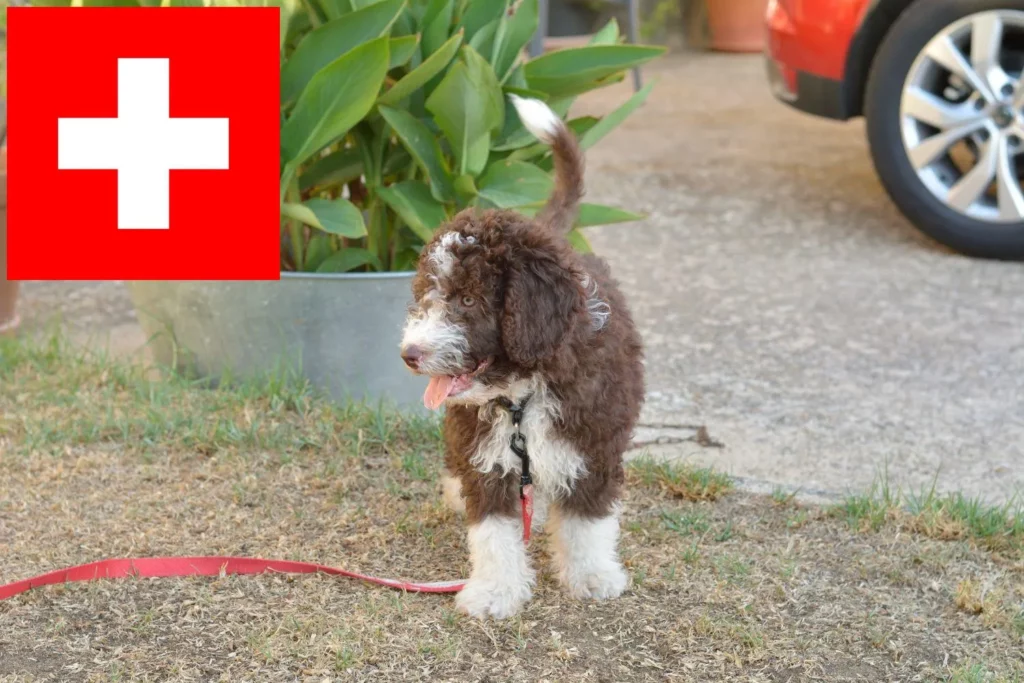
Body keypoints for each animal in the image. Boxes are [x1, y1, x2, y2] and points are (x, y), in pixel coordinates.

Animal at [397, 93, 643, 622]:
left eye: (469, 299)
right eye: (427, 296)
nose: (409, 354)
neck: (521, 396)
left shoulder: (592, 443)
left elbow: (588, 520)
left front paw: (591, 576)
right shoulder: (486, 453)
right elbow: (493, 531)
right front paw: (494, 591)